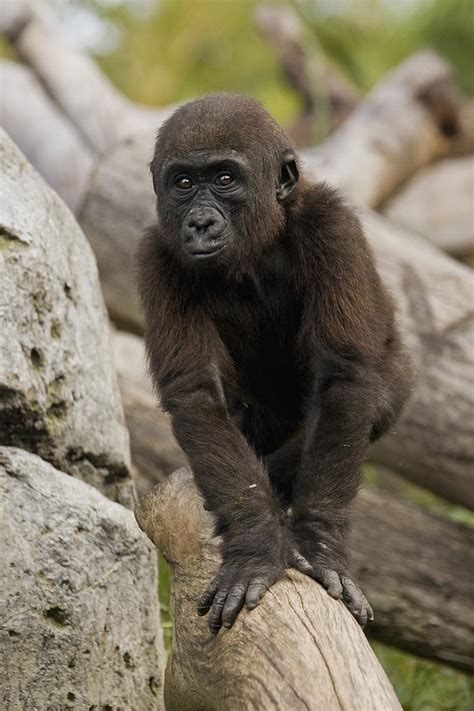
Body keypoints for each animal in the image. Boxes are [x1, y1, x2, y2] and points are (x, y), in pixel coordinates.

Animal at [137, 93, 412, 636]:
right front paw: (255, 543)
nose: (200, 222)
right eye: (184, 184)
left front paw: (319, 546)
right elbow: (196, 393)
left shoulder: (333, 226)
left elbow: (346, 380)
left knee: (373, 400)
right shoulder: (157, 257)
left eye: (225, 179)